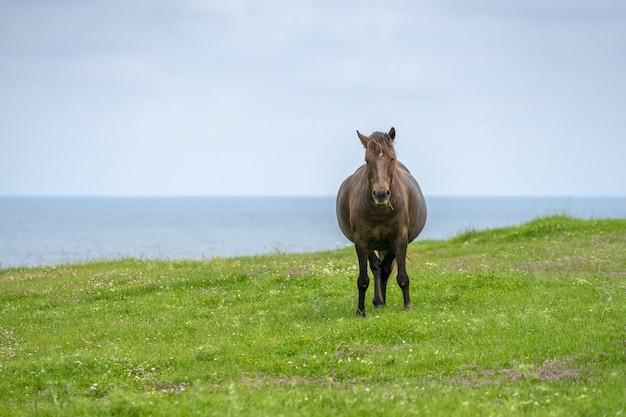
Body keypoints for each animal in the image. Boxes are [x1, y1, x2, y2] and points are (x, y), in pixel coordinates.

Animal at [336, 127, 424, 316]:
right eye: (367, 160)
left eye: (391, 158)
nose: (381, 194)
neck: (380, 212)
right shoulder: (361, 241)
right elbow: (363, 279)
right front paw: (360, 311)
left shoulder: (399, 239)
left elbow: (402, 277)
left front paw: (408, 306)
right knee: (378, 267)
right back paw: (379, 301)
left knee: (385, 267)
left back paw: (382, 301)